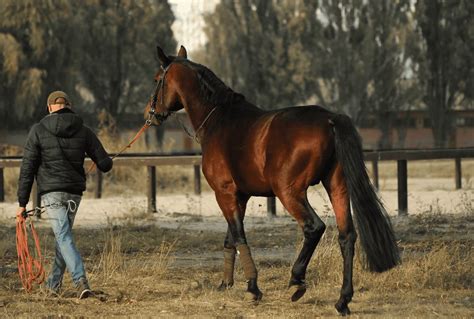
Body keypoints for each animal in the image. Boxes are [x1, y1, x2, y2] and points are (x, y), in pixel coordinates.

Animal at [145, 45, 400, 318]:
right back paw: (343, 300)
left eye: (157, 79)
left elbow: (238, 236)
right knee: (347, 236)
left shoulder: (224, 193)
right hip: (337, 187)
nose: (150, 114)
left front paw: (253, 288)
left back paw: (297, 281)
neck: (219, 120)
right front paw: (226, 284)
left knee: (314, 228)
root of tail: (330, 119)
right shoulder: (239, 196)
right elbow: (230, 237)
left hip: (289, 192)